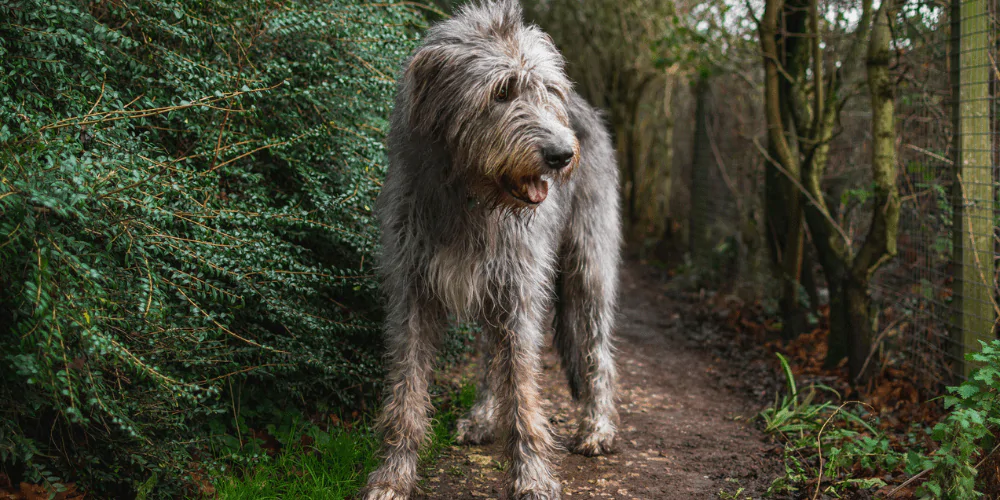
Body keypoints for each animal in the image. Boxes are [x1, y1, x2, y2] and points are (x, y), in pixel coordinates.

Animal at [364, 1, 620, 498]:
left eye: (548, 91)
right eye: (501, 92)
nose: (562, 155)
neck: (470, 199)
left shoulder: (519, 289)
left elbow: (522, 388)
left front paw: (533, 476)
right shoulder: (412, 290)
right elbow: (407, 390)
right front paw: (393, 475)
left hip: (589, 264)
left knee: (597, 348)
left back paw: (597, 428)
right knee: (489, 352)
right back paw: (484, 416)